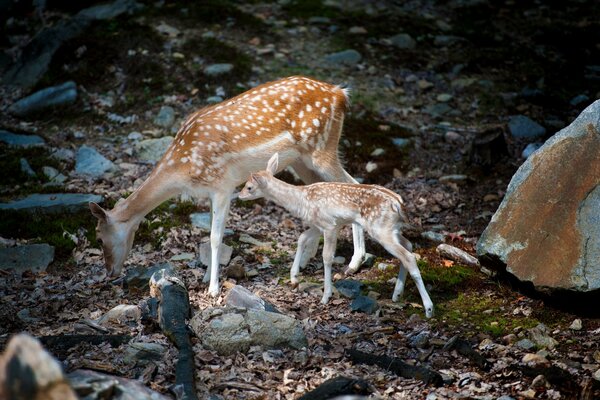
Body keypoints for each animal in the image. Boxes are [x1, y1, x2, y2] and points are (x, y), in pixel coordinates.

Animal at [89, 76, 366, 296]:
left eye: (99, 238)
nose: (110, 273)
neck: (183, 167)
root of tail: (341, 94)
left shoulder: (223, 184)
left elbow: (215, 237)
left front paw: (212, 289)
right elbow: (211, 233)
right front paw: (205, 277)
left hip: (322, 148)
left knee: (352, 183)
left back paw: (355, 261)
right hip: (301, 160)